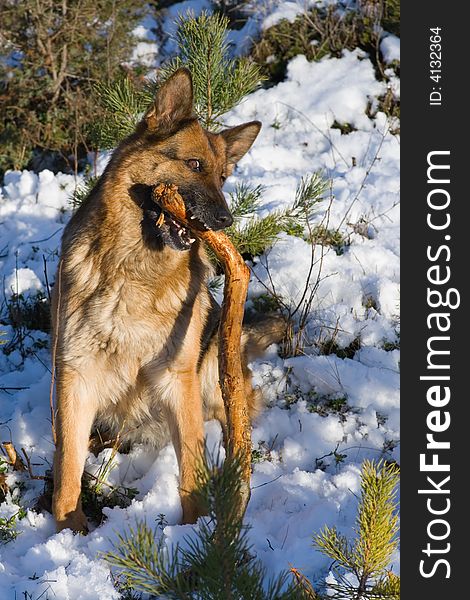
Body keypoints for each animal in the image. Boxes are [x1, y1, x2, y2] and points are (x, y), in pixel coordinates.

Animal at [52, 68, 280, 532]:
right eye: (194, 165)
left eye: (223, 178)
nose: (225, 220)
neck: (134, 270)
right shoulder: (74, 374)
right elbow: (67, 466)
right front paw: (68, 530)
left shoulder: (178, 379)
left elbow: (191, 469)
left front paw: (198, 530)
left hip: (212, 372)